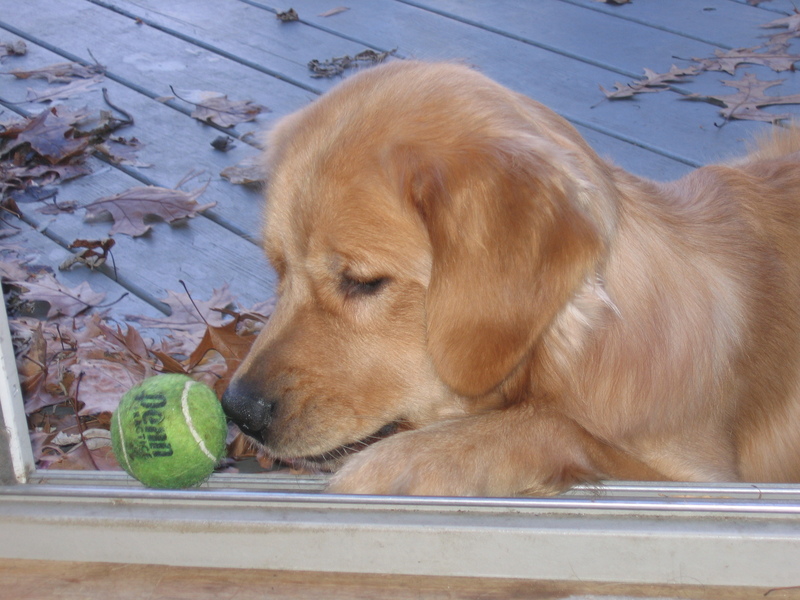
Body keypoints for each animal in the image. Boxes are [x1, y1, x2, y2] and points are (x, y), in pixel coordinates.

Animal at [221, 61, 800, 496]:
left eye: (363, 281)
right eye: (278, 269)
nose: (237, 410)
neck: (571, 357)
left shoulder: (703, 474)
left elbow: (560, 426)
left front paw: (415, 457)